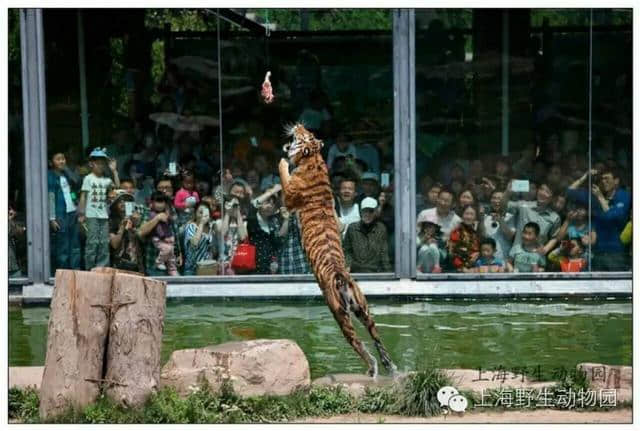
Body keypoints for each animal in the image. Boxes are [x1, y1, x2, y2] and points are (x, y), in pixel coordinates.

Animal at [278, 122, 398, 378]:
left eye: (304, 134)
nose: (298, 124)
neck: (312, 159)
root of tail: (342, 276)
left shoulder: (290, 197)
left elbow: (284, 174)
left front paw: (283, 161)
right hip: (365, 310)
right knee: (377, 339)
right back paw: (389, 367)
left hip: (339, 314)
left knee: (359, 344)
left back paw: (372, 368)